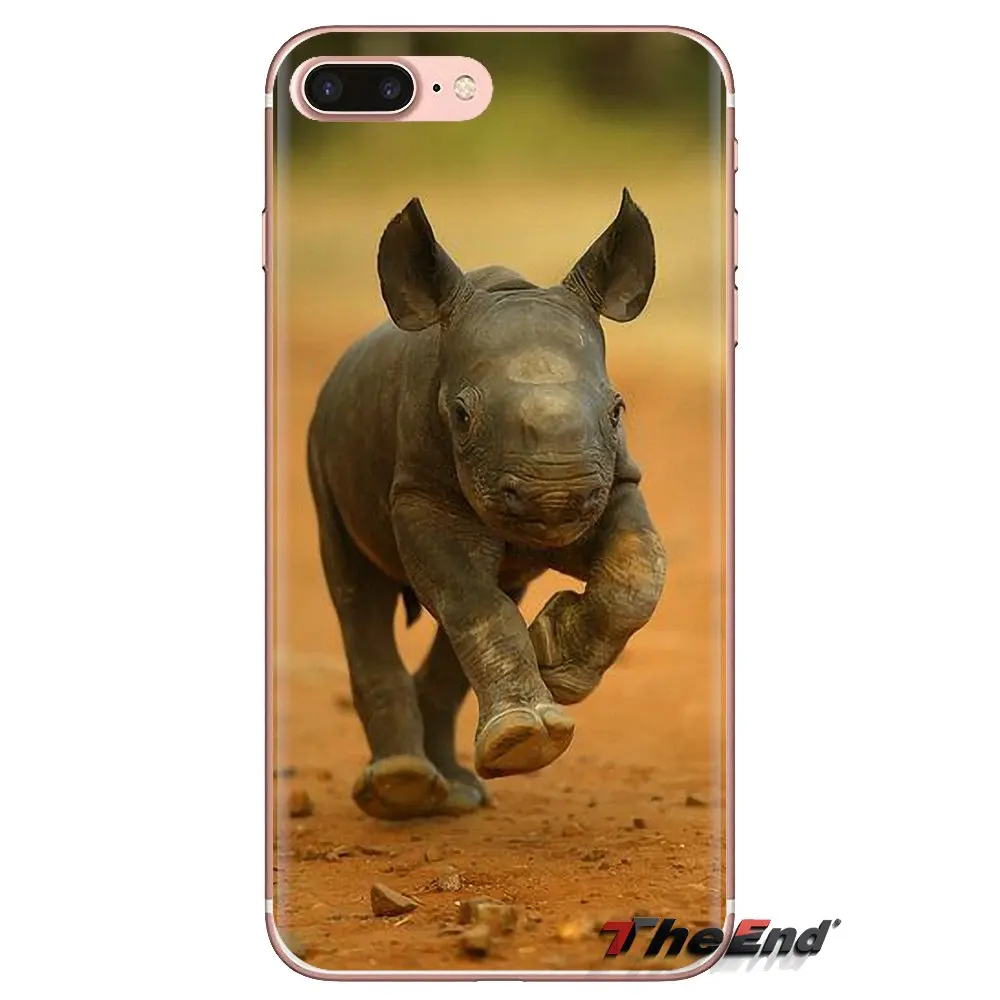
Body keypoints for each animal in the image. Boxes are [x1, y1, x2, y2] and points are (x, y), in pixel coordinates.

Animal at [307, 189, 667, 820]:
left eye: (617, 409)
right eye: (460, 415)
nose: (556, 497)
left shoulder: (616, 480)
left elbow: (637, 567)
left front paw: (558, 661)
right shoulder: (421, 494)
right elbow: (472, 600)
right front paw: (524, 740)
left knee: (497, 590)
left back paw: (456, 796)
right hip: (321, 445)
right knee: (357, 591)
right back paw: (402, 790)